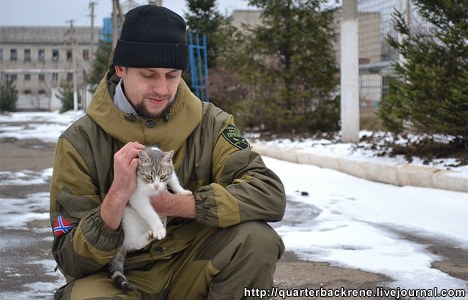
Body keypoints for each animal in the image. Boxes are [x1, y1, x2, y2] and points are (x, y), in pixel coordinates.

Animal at [109, 146, 191, 292]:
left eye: (162, 176)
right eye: (148, 177)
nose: (157, 186)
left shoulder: (170, 170)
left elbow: (174, 180)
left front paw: (182, 191)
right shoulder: (136, 196)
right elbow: (150, 213)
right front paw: (158, 228)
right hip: (127, 218)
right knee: (131, 243)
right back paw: (149, 235)